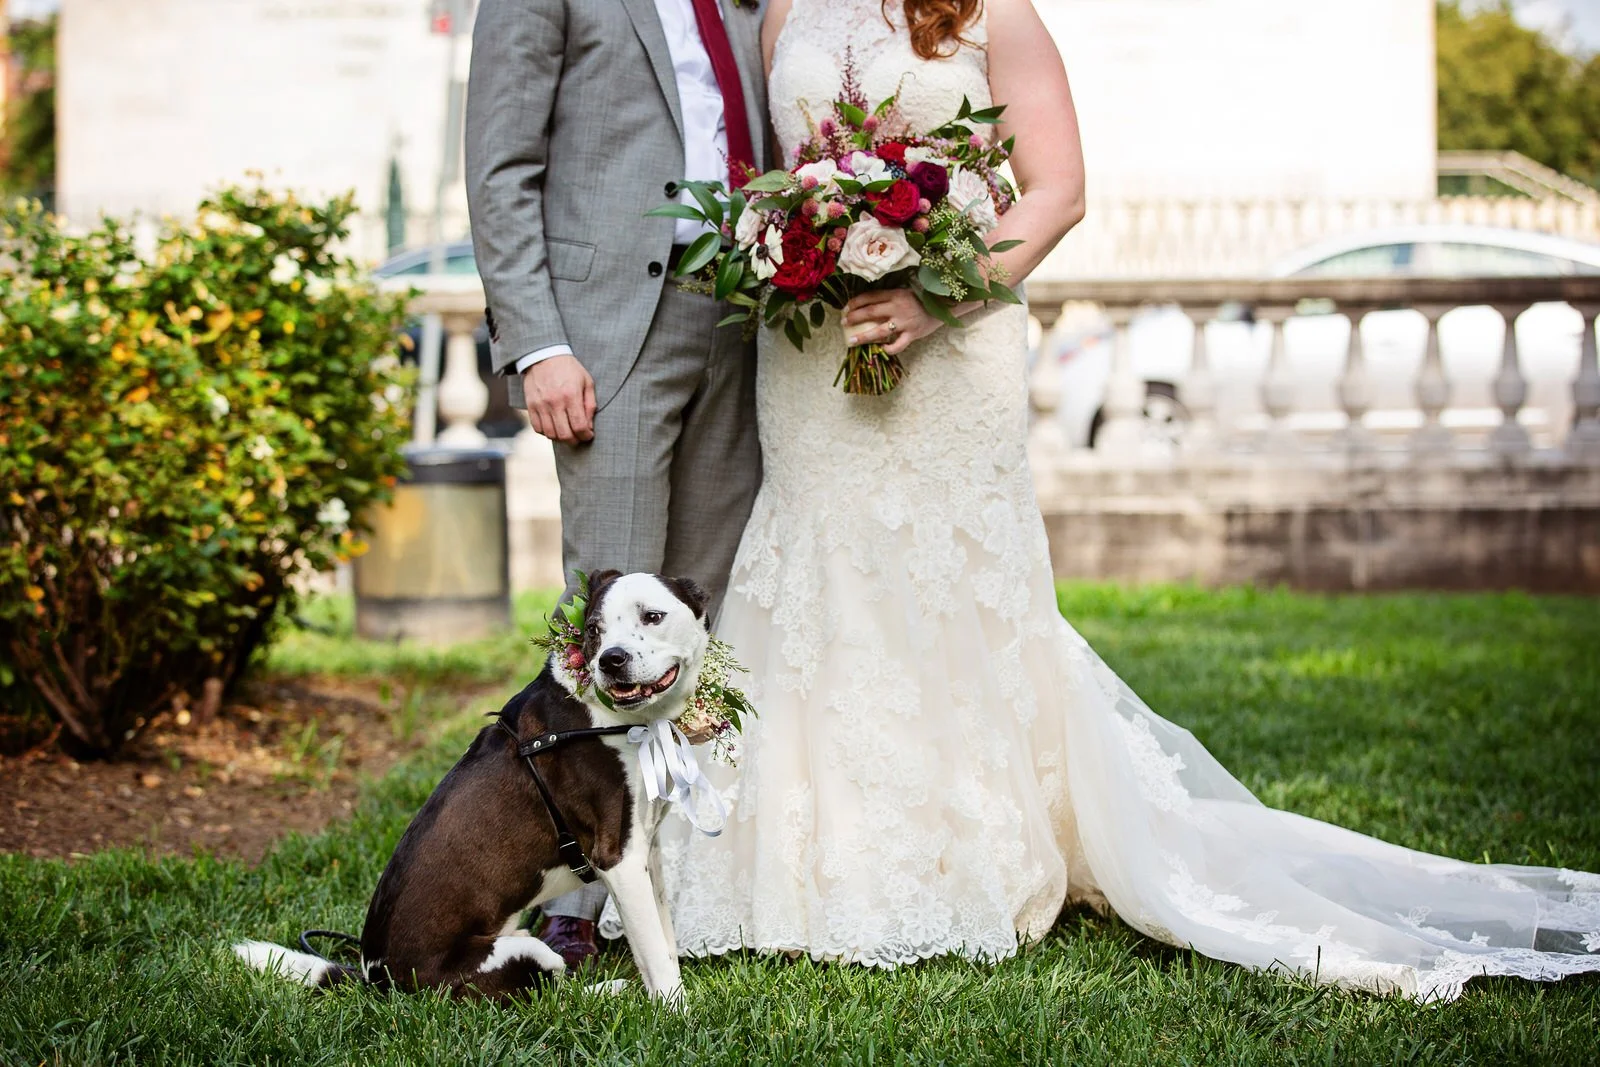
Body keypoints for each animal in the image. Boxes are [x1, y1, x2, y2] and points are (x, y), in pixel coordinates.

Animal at [234, 570, 711, 1003]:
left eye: (653, 616)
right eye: (594, 630)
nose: (610, 659)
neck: (614, 717)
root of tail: (377, 978)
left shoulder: (646, 850)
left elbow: (664, 939)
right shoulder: (619, 857)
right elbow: (654, 952)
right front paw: (676, 1015)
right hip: (519, 952)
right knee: (544, 994)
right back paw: (606, 991)